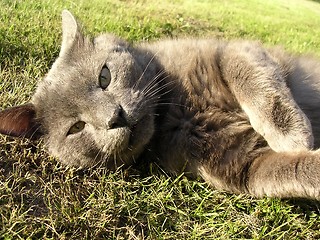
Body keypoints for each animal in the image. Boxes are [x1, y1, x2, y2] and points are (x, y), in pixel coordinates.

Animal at [0, 10, 320, 200]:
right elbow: (296, 171)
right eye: (76, 128)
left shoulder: (234, 50)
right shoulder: (244, 165)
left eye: (104, 76)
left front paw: (291, 135)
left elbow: (249, 79)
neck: (175, 112)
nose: (115, 117)